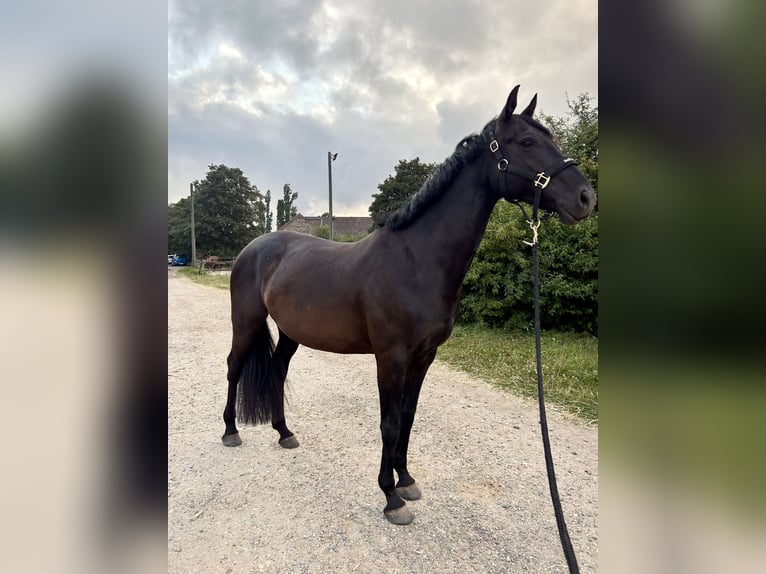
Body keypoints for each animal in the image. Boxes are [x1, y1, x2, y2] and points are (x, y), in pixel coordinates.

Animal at [219, 86, 596, 528]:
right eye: (527, 142)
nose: (586, 198)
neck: (417, 260)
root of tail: (255, 247)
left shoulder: (424, 356)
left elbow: (410, 417)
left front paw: (407, 480)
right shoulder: (391, 357)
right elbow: (390, 422)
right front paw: (390, 497)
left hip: (291, 332)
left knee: (278, 370)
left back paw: (284, 432)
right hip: (246, 322)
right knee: (234, 367)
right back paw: (230, 431)